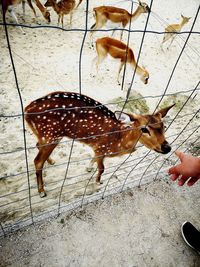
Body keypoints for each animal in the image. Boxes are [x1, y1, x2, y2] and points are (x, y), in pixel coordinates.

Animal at [25, 91, 174, 198]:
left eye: (163, 125)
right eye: (144, 129)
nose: (167, 147)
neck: (119, 141)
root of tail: (26, 110)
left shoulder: (97, 148)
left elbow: (94, 160)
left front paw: (88, 168)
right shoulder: (101, 147)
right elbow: (102, 168)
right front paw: (98, 183)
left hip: (45, 136)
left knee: (37, 145)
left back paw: (51, 161)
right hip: (50, 134)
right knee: (37, 161)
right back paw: (42, 191)